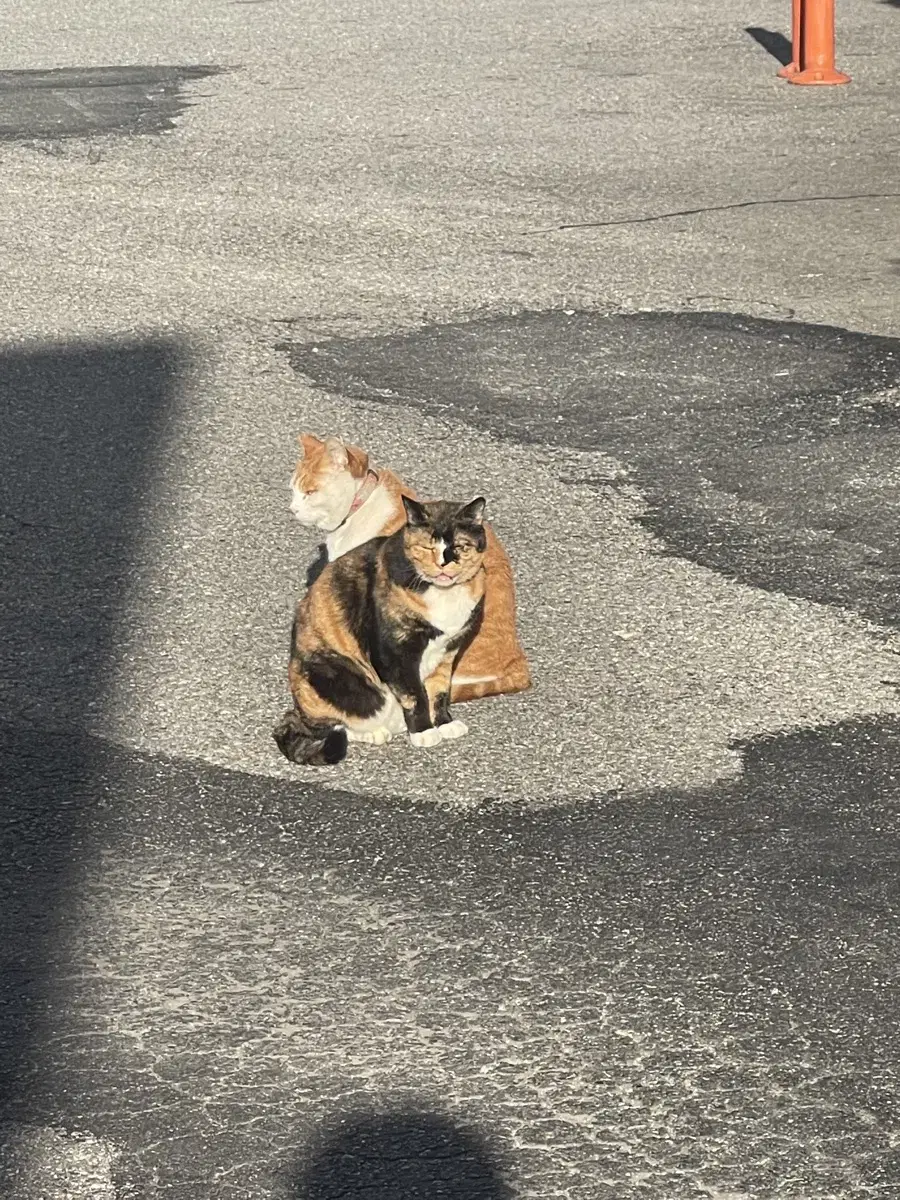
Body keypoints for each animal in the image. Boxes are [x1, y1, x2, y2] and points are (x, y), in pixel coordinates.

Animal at [273, 496, 489, 768]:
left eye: (460, 546)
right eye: (428, 547)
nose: (443, 564)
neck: (444, 595)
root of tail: (297, 709)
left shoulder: (449, 649)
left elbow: (439, 689)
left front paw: (444, 723)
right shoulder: (394, 652)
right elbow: (414, 694)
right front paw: (424, 731)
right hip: (338, 679)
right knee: (329, 728)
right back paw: (374, 733)